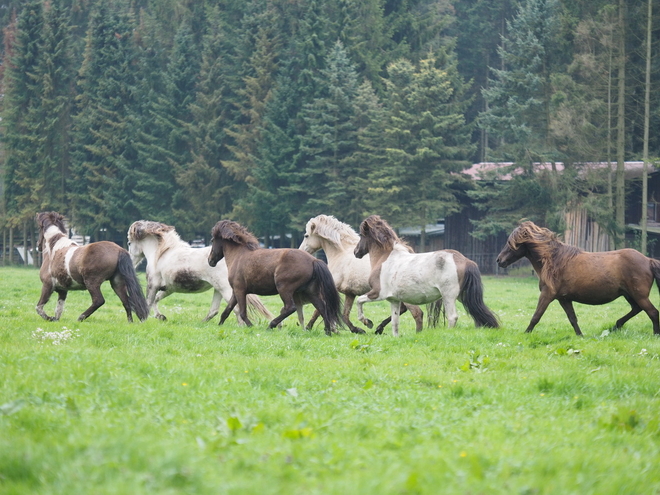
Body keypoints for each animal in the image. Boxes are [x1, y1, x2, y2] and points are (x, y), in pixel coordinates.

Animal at [126, 222, 274, 324]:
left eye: (129, 242)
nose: (130, 261)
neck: (161, 253)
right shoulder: (169, 288)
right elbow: (155, 300)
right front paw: (161, 317)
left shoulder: (153, 285)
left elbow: (148, 303)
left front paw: (145, 320)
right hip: (218, 289)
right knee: (215, 310)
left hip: (226, 289)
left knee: (236, 309)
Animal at [210, 221, 346, 338]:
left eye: (212, 240)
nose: (210, 261)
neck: (239, 256)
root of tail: (314, 260)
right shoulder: (235, 291)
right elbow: (226, 311)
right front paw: (219, 325)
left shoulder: (240, 290)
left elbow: (242, 312)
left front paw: (251, 327)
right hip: (311, 291)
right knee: (322, 307)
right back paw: (327, 332)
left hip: (284, 288)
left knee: (290, 307)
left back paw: (271, 325)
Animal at [354, 216, 498, 338]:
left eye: (361, 235)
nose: (356, 252)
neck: (385, 259)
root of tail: (464, 260)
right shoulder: (394, 300)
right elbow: (395, 322)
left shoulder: (377, 293)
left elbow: (359, 301)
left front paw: (368, 322)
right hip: (463, 296)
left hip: (448, 296)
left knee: (452, 317)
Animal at [496, 222, 660, 336]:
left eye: (512, 243)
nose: (499, 260)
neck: (553, 259)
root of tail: (648, 260)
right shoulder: (564, 298)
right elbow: (572, 318)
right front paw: (580, 336)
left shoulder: (547, 294)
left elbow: (536, 316)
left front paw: (525, 334)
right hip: (629, 295)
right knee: (637, 309)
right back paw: (615, 326)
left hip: (639, 295)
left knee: (653, 312)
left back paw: (654, 335)